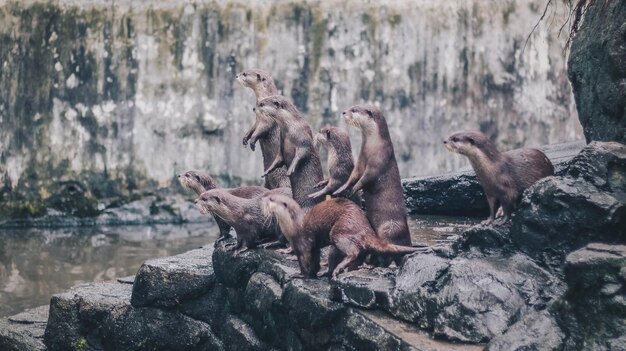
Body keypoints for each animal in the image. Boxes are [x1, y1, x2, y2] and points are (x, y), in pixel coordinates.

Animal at [258, 194, 424, 280]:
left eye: (271, 198)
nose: (262, 198)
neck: (293, 225)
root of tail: (366, 229)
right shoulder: (314, 248)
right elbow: (315, 260)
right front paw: (314, 273)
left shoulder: (302, 245)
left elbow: (305, 262)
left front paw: (300, 275)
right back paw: (330, 272)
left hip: (340, 231)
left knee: (353, 252)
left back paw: (337, 270)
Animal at [334, 106, 412, 266]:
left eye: (354, 110)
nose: (344, 112)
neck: (373, 146)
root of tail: (408, 241)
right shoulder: (360, 160)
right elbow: (353, 176)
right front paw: (342, 188)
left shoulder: (377, 162)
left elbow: (365, 179)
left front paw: (353, 190)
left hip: (388, 228)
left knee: (390, 250)